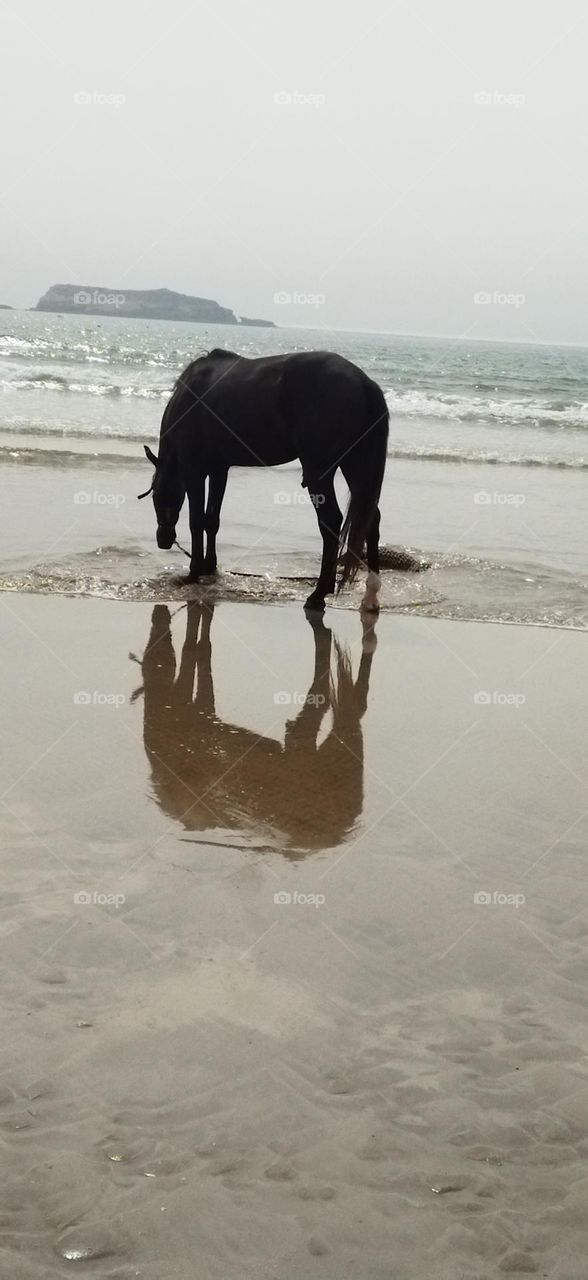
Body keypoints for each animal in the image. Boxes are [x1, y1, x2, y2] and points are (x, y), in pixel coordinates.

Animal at [138, 349, 389, 610]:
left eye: (156, 496)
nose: (164, 540)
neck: (188, 400)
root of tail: (363, 381)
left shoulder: (193, 471)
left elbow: (196, 521)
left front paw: (194, 572)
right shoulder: (219, 470)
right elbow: (212, 520)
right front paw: (209, 567)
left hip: (320, 472)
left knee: (330, 521)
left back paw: (318, 594)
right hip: (355, 466)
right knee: (370, 518)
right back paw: (369, 595)